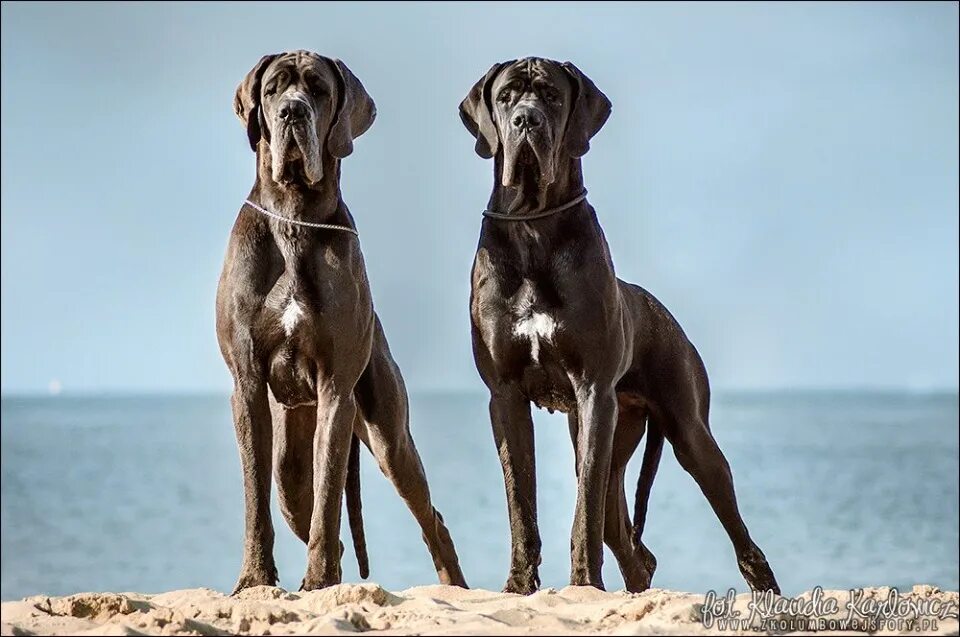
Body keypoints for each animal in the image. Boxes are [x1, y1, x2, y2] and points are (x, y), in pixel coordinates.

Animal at [221, 51, 468, 592]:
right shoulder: (247, 384)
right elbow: (255, 497)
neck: (294, 218)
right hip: (290, 465)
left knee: (431, 518)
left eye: (318, 88)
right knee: (304, 503)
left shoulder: (337, 388)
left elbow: (331, 491)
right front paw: (254, 579)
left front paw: (316, 583)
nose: (292, 112)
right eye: (272, 89)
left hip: (389, 436)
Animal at [458, 57, 780, 592]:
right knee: (633, 546)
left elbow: (584, 504)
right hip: (623, 428)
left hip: (689, 432)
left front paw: (584, 583)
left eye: (551, 96)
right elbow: (520, 501)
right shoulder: (504, 397)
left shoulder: (594, 392)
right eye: (506, 97)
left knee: (736, 533)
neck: (533, 225)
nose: (527, 120)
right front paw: (519, 586)